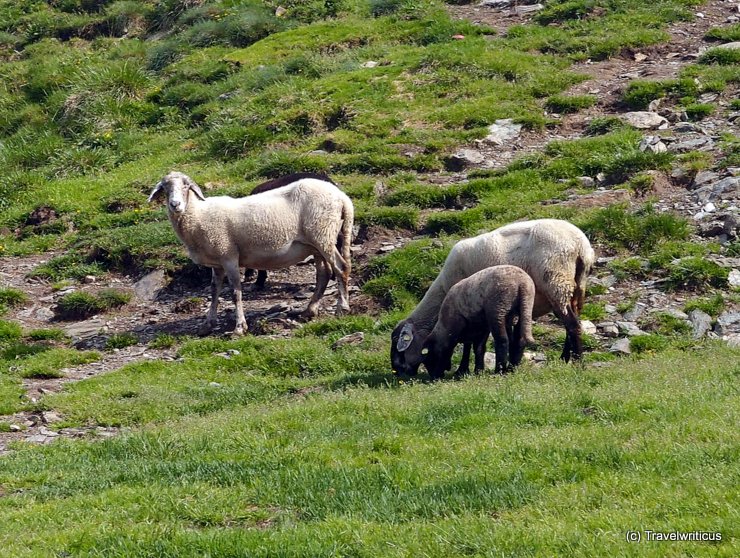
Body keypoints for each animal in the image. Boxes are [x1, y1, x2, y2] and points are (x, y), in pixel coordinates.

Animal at [149, 173, 354, 334]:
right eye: (165, 188)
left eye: (186, 186)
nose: (175, 204)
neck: (198, 215)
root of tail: (342, 197)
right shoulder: (217, 263)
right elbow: (214, 291)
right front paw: (207, 324)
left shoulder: (229, 256)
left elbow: (235, 293)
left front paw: (239, 327)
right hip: (316, 243)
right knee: (324, 274)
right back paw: (309, 311)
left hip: (323, 235)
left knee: (341, 267)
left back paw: (342, 308)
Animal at [394, 218, 596, 376]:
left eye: (400, 349)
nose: (398, 372)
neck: (443, 288)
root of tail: (581, 247)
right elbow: (511, 335)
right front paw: (510, 363)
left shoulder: (470, 307)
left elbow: (470, 342)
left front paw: (464, 369)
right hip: (574, 288)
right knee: (572, 324)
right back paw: (565, 358)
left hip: (556, 282)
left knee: (573, 325)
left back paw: (578, 361)